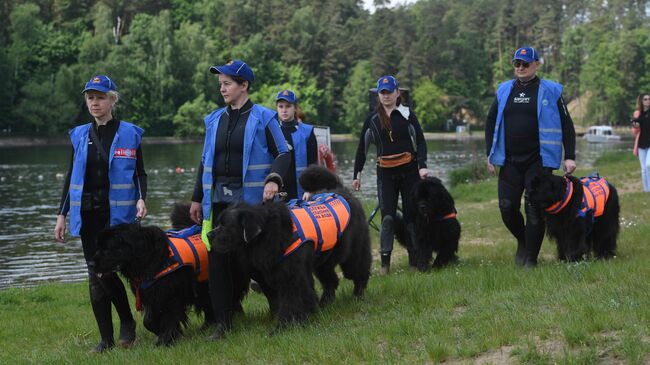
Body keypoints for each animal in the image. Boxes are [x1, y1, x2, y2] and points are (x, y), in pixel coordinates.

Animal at [92, 203, 213, 346]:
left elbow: (168, 316)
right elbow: (149, 320)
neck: (147, 257)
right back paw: (206, 326)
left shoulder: (170, 294)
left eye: (107, 249)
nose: (91, 263)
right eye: (98, 247)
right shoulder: (149, 295)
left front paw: (165, 339)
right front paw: (163, 332)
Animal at [208, 166, 370, 332]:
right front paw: (306, 315)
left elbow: (292, 300)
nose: (208, 234)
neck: (268, 232)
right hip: (323, 261)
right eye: (218, 223)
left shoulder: (291, 274)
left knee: (359, 271)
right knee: (331, 280)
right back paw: (325, 302)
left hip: (354, 253)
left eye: (225, 226)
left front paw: (283, 325)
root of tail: (340, 190)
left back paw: (358, 295)